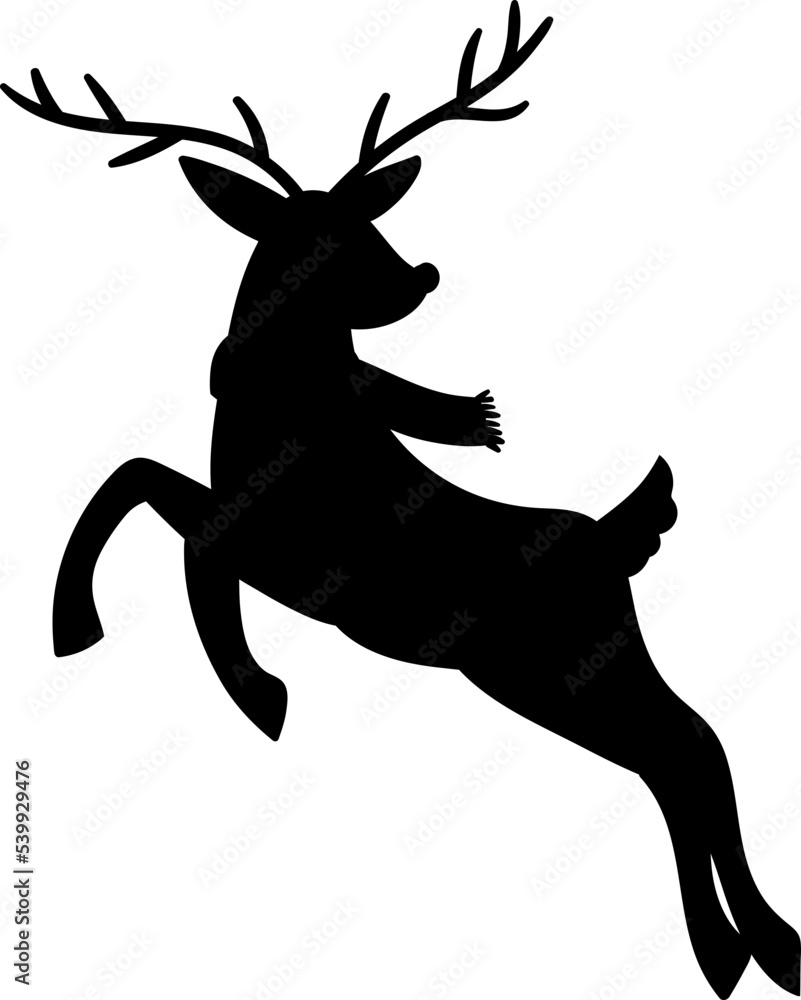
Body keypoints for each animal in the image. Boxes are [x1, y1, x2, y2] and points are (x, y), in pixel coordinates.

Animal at [3, 5, 798, 997]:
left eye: (365, 223)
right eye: (304, 240)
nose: (417, 273)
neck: (284, 422)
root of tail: (616, 540)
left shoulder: (293, 556)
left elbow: (157, 504)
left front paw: (248, 687)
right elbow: (140, 484)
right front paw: (91, 631)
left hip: (554, 666)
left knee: (682, 750)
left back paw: (730, 949)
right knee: (691, 746)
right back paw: (757, 948)